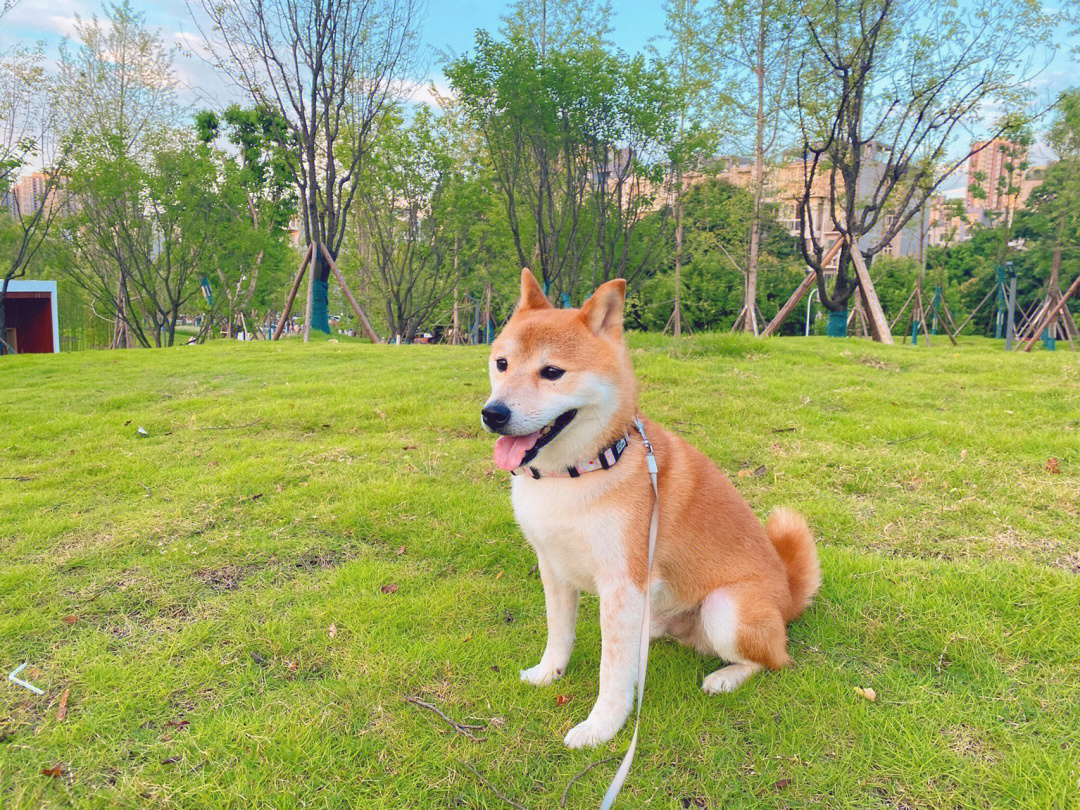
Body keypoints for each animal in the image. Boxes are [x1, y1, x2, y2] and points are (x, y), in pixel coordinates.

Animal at [481, 271, 816, 747]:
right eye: (502, 364)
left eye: (552, 373)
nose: (493, 413)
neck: (577, 472)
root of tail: (787, 597)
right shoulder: (554, 567)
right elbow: (559, 633)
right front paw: (549, 673)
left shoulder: (623, 583)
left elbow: (612, 670)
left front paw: (602, 725)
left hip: (724, 609)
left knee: (772, 660)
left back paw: (726, 677)